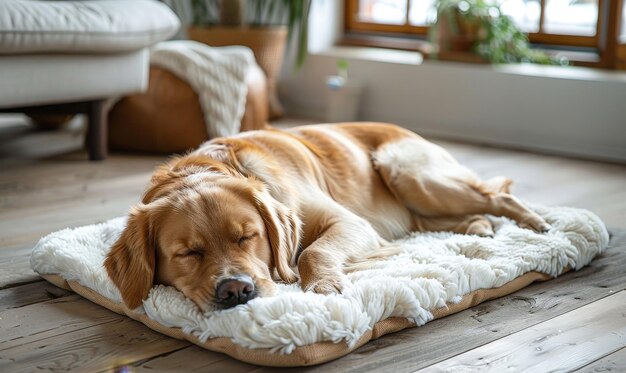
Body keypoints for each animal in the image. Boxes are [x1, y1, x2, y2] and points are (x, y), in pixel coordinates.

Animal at [103, 123, 544, 310]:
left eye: (247, 236)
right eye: (187, 253)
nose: (236, 291)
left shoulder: (352, 223)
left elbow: (311, 252)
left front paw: (323, 285)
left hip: (411, 174)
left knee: (498, 195)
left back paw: (534, 222)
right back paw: (478, 225)